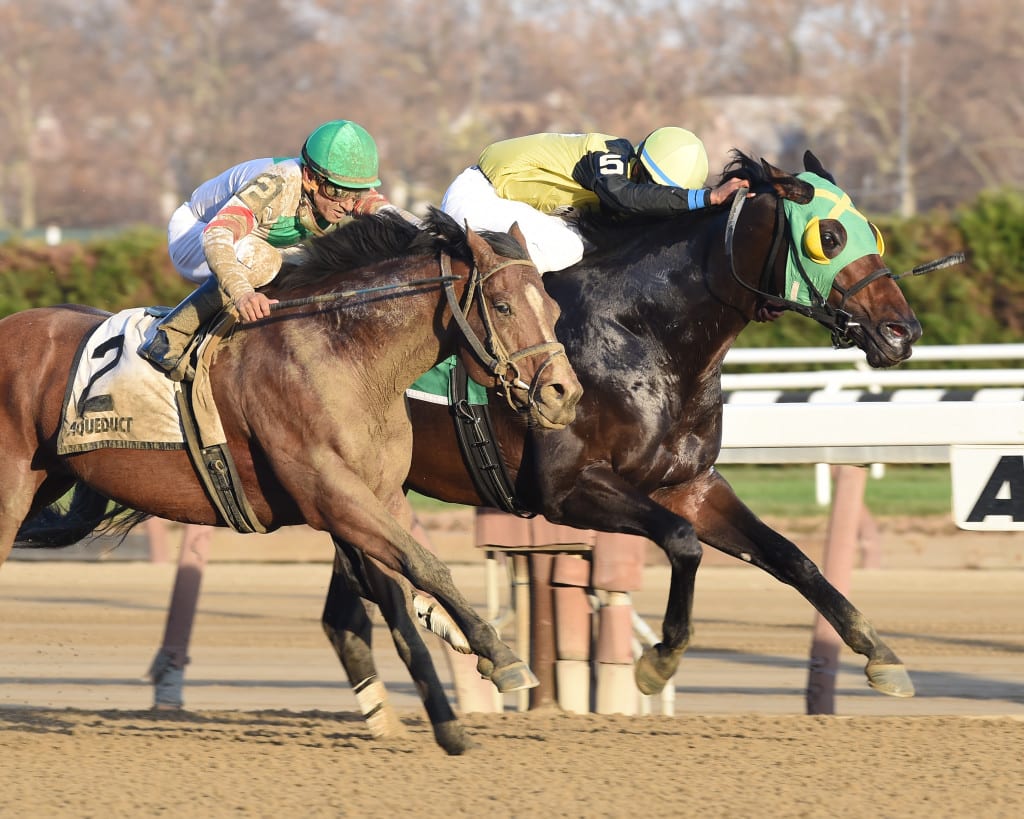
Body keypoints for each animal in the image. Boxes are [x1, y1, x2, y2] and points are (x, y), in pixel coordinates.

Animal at [2, 207, 585, 753]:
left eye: (554, 308)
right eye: (503, 306)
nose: (564, 393)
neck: (343, 353)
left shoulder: (378, 497)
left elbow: (403, 595)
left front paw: (452, 710)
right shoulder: (329, 493)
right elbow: (425, 566)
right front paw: (500, 656)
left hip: (46, 480)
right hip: (11, 489)